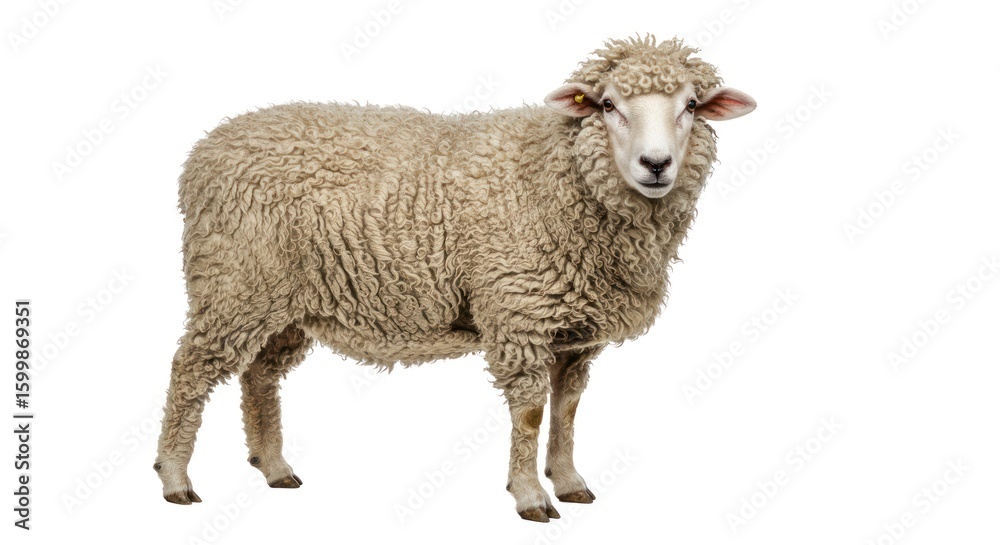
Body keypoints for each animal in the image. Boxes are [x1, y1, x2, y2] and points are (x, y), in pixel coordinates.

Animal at [154, 34, 756, 522]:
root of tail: (204, 150)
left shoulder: (572, 332)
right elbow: (531, 414)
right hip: (234, 281)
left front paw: (568, 482)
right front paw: (530, 496)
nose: (656, 165)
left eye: (691, 106)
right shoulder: (519, 313)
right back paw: (175, 478)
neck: (561, 175)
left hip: (284, 301)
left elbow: (567, 409)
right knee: (191, 371)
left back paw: (274, 466)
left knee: (259, 374)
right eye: (607, 104)